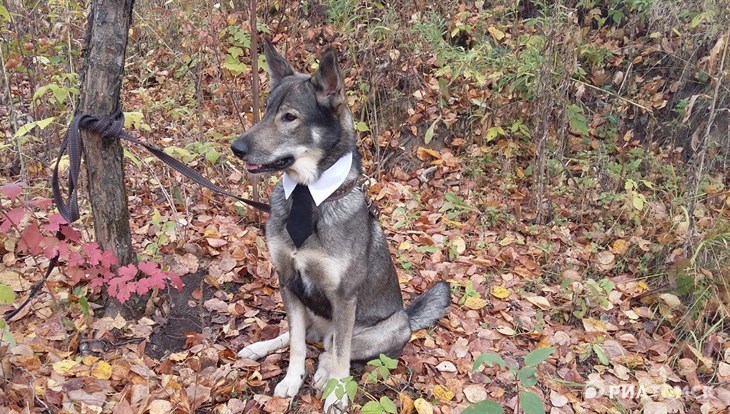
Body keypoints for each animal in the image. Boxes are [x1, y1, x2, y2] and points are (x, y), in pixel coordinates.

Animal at [233, 40, 450, 412]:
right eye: (266, 112)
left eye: (289, 117)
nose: (237, 148)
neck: (308, 197)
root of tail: (408, 316)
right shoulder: (288, 281)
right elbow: (296, 344)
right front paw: (292, 380)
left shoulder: (344, 297)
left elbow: (340, 356)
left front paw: (336, 394)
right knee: (306, 336)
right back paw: (260, 348)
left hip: (386, 327)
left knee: (333, 348)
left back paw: (324, 374)